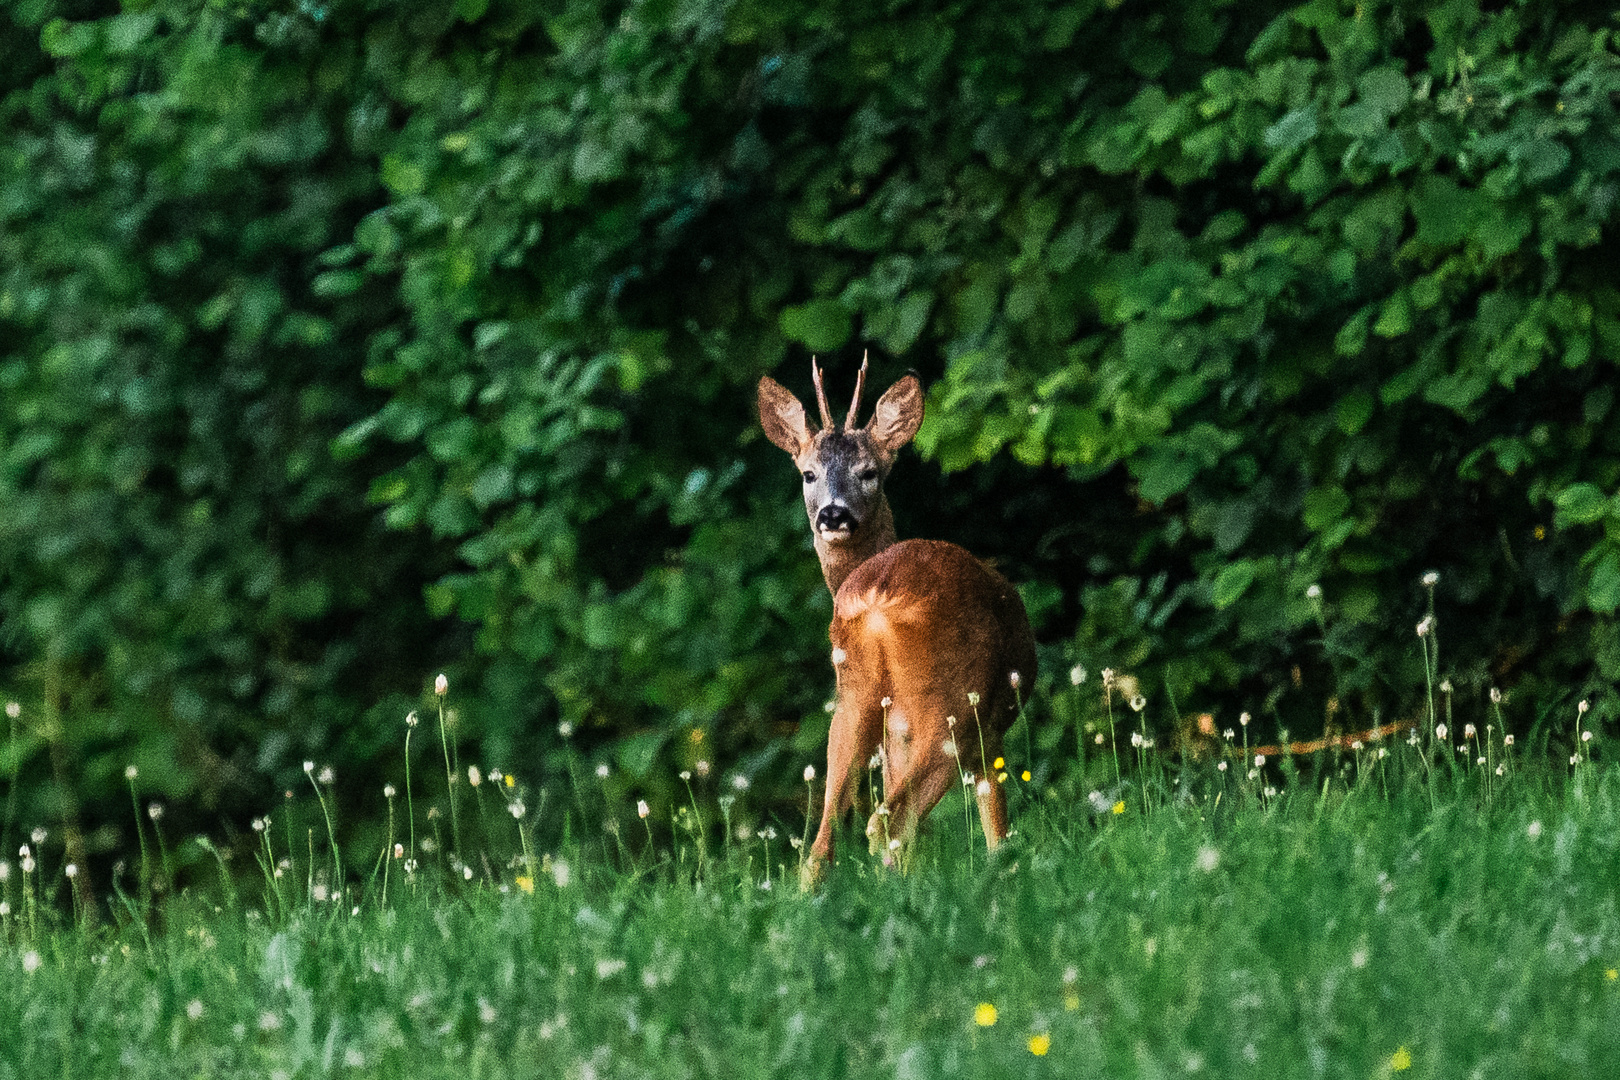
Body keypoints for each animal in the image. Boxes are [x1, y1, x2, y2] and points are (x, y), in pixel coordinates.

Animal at [758, 359, 1036, 893]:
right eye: (808, 473)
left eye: (870, 472)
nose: (833, 513)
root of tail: (877, 598)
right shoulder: (988, 730)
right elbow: (996, 822)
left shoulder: (894, 741)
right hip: (954, 702)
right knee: (891, 820)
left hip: (855, 696)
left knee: (823, 843)